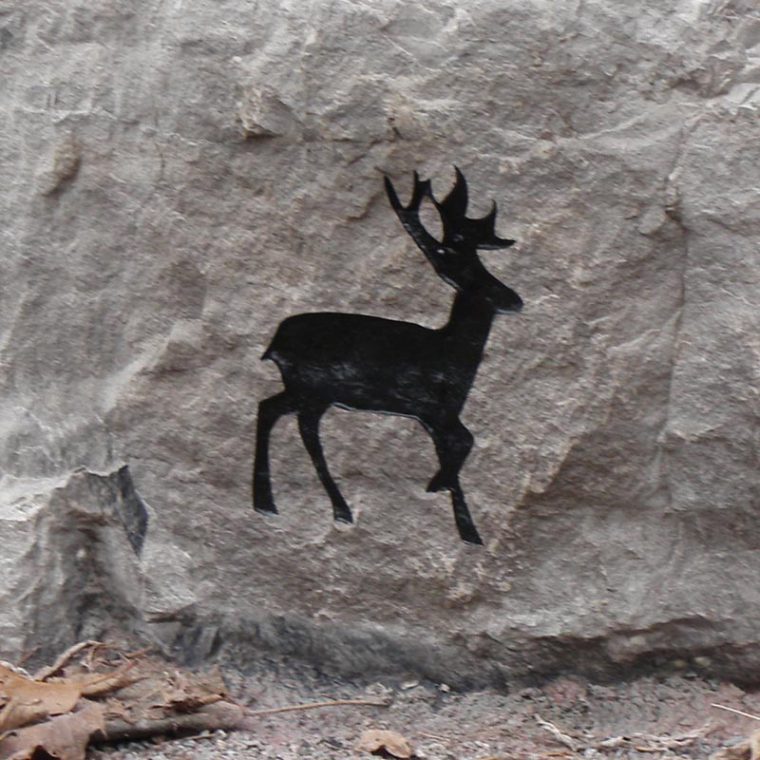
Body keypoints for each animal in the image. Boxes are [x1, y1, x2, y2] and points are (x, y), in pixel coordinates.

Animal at [253, 167, 522, 545]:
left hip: (303, 389)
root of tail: (275, 342)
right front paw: (438, 488)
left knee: (270, 408)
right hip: (313, 386)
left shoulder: (441, 414)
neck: (454, 354)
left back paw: (270, 503)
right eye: (473, 274)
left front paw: (468, 530)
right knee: (304, 430)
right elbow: (465, 440)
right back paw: (337, 510)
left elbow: (456, 446)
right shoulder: (431, 406)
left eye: (486, 268)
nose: (515, 300)